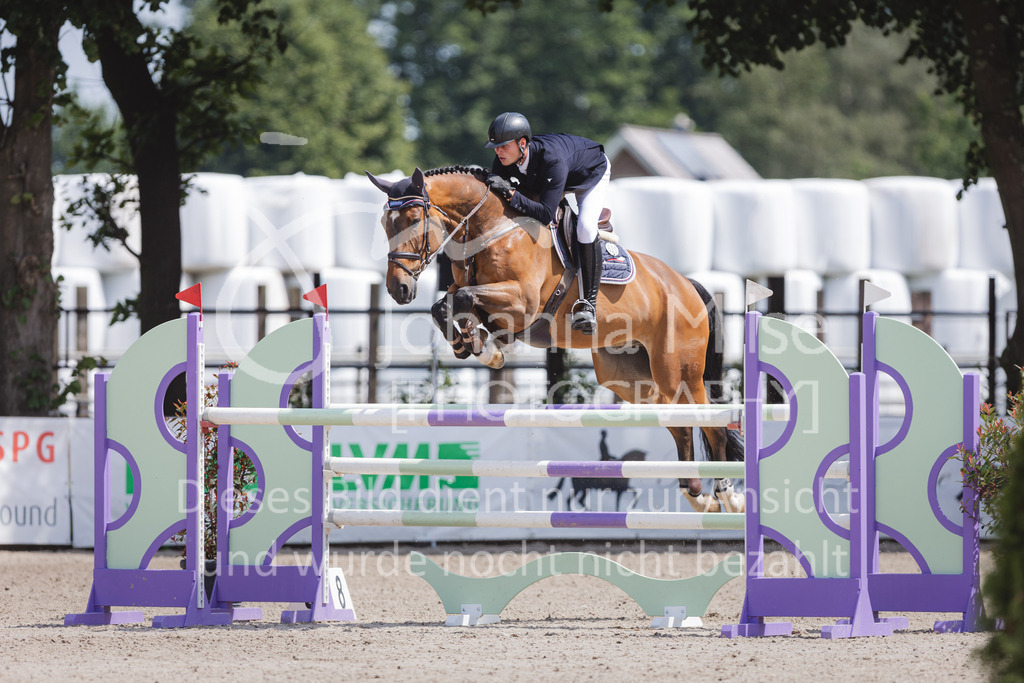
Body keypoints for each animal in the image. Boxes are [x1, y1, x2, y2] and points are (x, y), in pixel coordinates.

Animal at [366, 165, 744, 513]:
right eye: (386, 224)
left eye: (415, 219)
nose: (398, 289)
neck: (491, 227)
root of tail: (685, 284)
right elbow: (445, 304)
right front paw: (473, 344)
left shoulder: (522, 303)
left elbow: (461, 299)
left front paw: (485, 349)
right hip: (632, 379)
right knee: (678, 423)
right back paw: (698, 496)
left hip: (678, 371)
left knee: (712, 424)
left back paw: (728, 495)